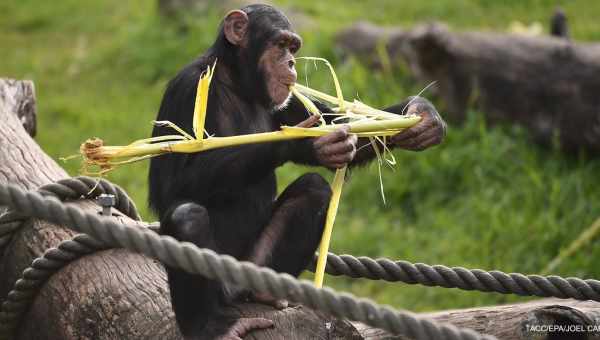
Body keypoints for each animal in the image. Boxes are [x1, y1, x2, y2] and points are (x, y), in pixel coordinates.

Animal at [151, 3, 446, 340]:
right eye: (280, 45)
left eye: (293, 48)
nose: (291, 63)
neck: (236, 83)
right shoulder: (187, 90)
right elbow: (171, 182)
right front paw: (302, 143)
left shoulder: (288, 100)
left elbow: (343, 123)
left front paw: (422, 115)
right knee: (186, 217)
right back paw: (212, 326)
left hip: (253, 267)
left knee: (314, 190)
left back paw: (266, 292)